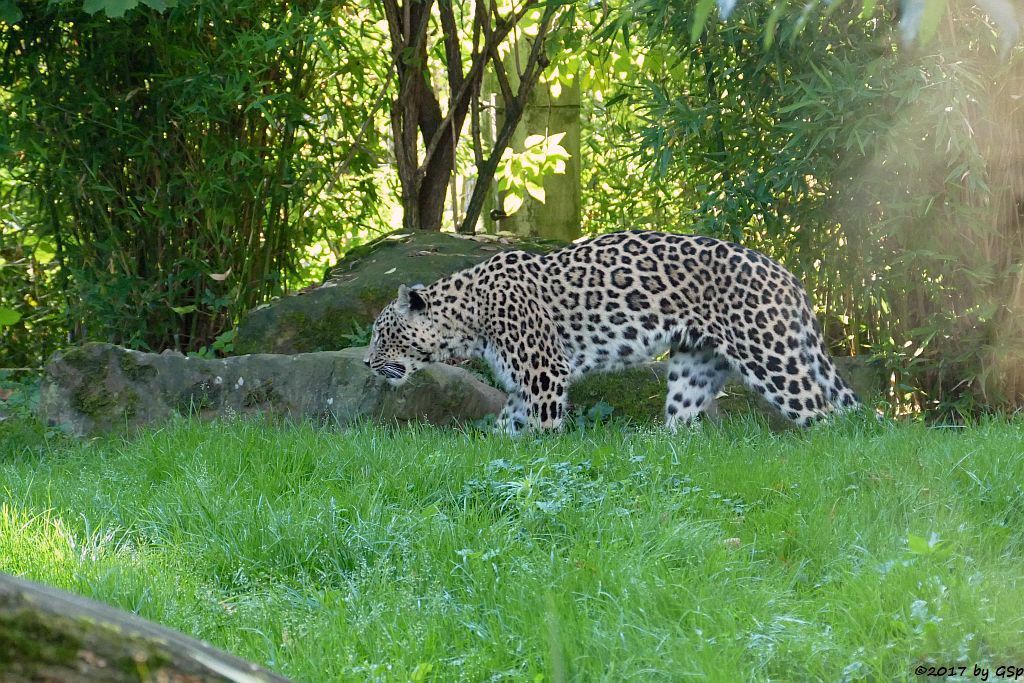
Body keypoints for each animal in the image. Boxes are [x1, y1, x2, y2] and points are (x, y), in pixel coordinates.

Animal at [364, 229, 860, 432]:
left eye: (382, 333)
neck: (468, 316)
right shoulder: (524, 384)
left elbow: (544, 428)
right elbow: (509, 424)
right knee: (683, 419)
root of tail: (788, 275)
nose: (367, 362)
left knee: (824, 416)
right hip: (694, 365)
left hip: (770, 355)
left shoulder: (545, 373)